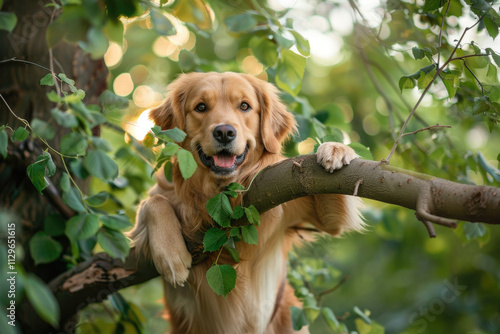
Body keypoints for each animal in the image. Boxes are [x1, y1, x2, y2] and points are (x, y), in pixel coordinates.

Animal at [128, 72, 364, 332]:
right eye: (200, 107)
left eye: (244, 106)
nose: (224, 132)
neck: (218, 190)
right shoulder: (165, 191)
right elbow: (152, 202)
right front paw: (172, 256)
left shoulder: (294, 200)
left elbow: (332, 210)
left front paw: (336, 148)